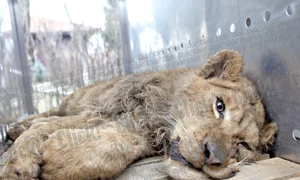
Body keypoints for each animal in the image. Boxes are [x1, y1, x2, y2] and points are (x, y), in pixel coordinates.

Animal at [0, 50, 278, 179]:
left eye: (243, 145)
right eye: (219, 106)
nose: (213, 156)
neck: (158, 119)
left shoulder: (138, 133)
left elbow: (119, 145)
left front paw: (60, 160)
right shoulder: (100, 109)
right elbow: (42, 129)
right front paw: (19, 166)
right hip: (73, 100)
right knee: (49, 113)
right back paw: (17, 127)